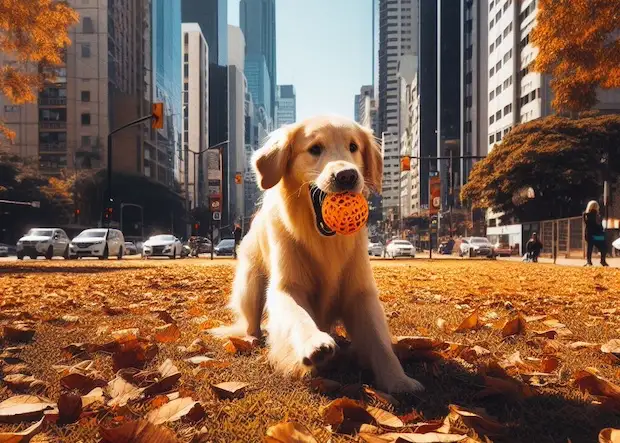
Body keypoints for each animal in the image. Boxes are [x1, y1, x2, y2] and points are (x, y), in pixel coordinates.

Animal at [211, 115, 424, 396]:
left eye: (353, 147)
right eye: (315, 149)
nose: (347, 176)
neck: (324, 242)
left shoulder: (360, 292)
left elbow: (379, 339)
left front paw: (398, 380)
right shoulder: (286, 287)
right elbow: (298, 316)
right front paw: (314, 345)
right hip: (251, 285)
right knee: (251, 320)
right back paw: (252, 338)